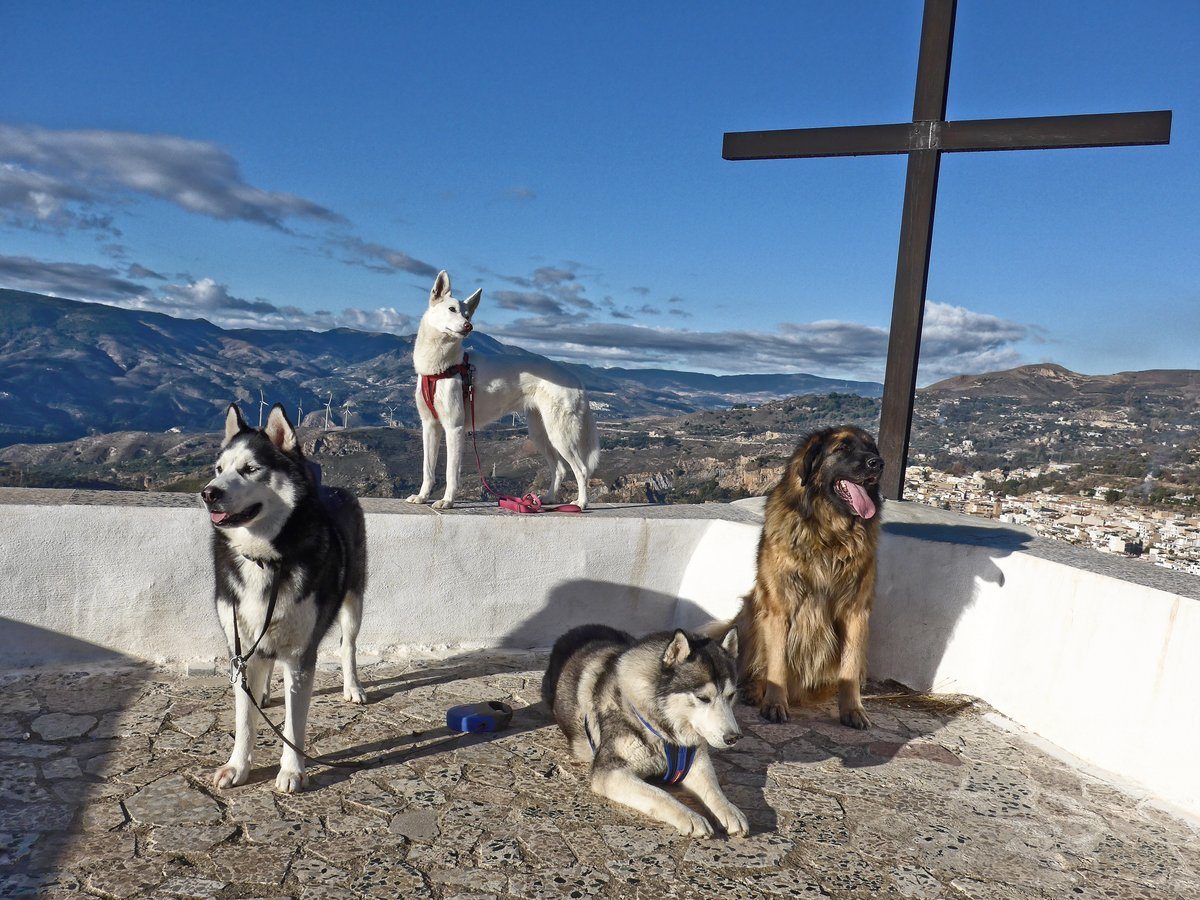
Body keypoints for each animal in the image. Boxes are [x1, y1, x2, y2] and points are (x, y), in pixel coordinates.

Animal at [408, 267, 600, 508]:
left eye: (467, 315)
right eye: (452, 309)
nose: (469, 326)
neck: (440, 367)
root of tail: (576, 379)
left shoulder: (454, 427)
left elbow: (451, 472)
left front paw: (447, 500)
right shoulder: (430, 426)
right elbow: (428, 470)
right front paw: (422, 496)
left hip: (560, 434)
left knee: (581, 469)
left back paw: (580, 503)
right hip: (541, 434)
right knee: (560, 469)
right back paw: (547, 499)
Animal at [734, 427, 888, 729]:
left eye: (872, 448)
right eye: (842, 448)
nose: (878, 463)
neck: (829, 536)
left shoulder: (856, 612)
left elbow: (850, 666)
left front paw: (853, 710)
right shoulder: (778, 608)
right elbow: (777, 663)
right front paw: (774, 703)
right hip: (749, 611)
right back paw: (754, 689)